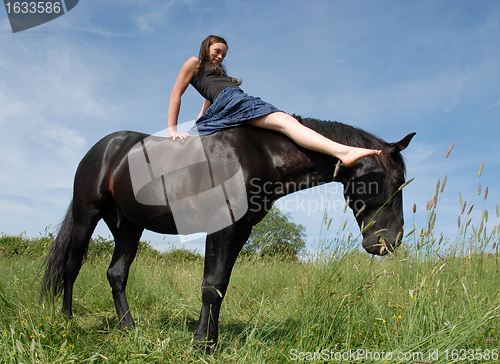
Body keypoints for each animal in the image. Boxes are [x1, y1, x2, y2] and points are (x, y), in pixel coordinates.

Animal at [41, 116, 414, 352]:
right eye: (396, 180)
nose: (389, 242)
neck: (258, 155)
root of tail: (105, 147)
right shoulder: (221, 226)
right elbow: (210, 285)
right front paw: (202, 345)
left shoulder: (241, 231)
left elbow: (221, 285)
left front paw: (213, 340)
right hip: (86, 214)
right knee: (72, 266)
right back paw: (67, 320)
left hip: (129, 226)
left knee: (116, 274)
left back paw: (128, 327)